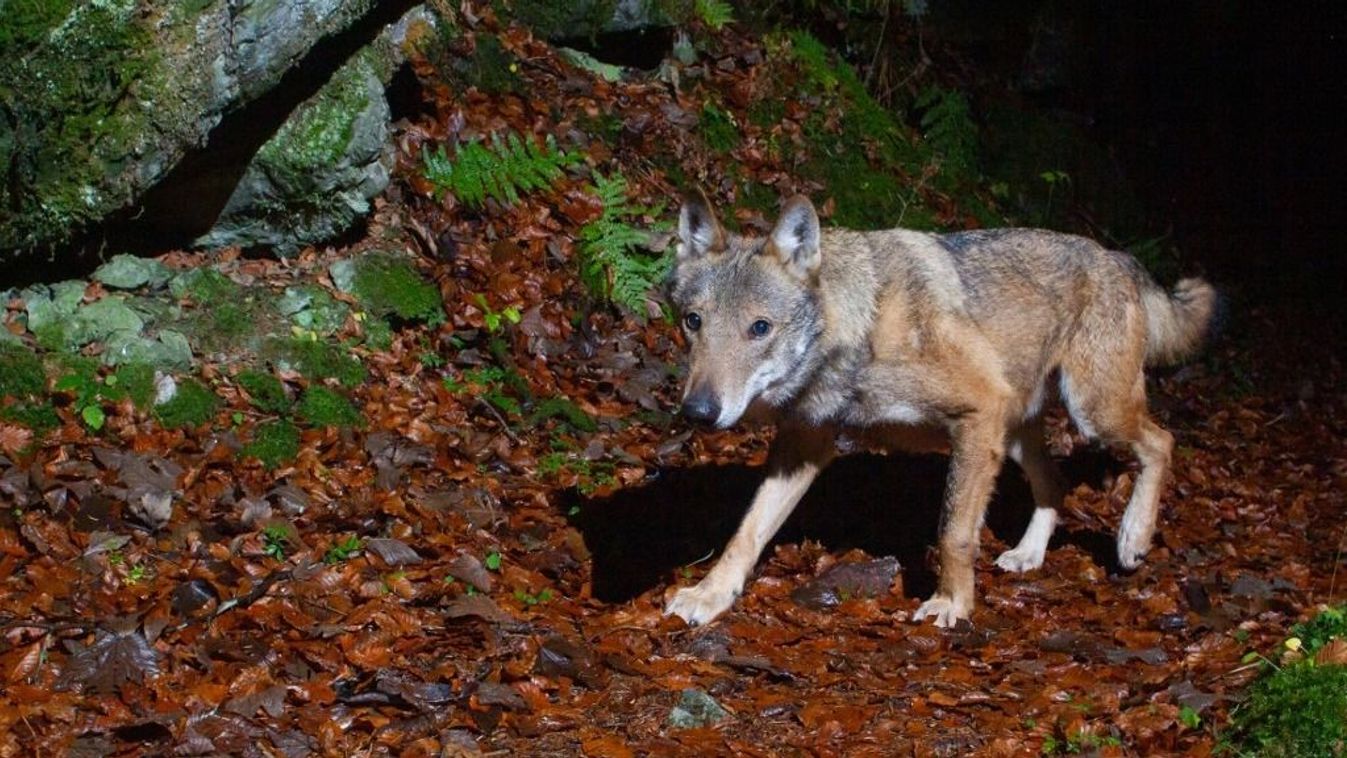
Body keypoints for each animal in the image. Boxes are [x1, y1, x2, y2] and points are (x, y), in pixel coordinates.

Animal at [662, 191, 1223, 630]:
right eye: (693, 321)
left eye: (760, 328)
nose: (699, 411)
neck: (863, 331)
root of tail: (1116, 255)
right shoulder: (805, 445)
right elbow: (745, 533)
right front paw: (709, 596)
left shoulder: (977, 416)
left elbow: (953, 532)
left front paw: (952, 603)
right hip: (1017, 436)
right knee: (1057, 483)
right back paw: (1029, 554)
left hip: (1091, 413)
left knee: (1162, 442)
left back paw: (1132, 538)